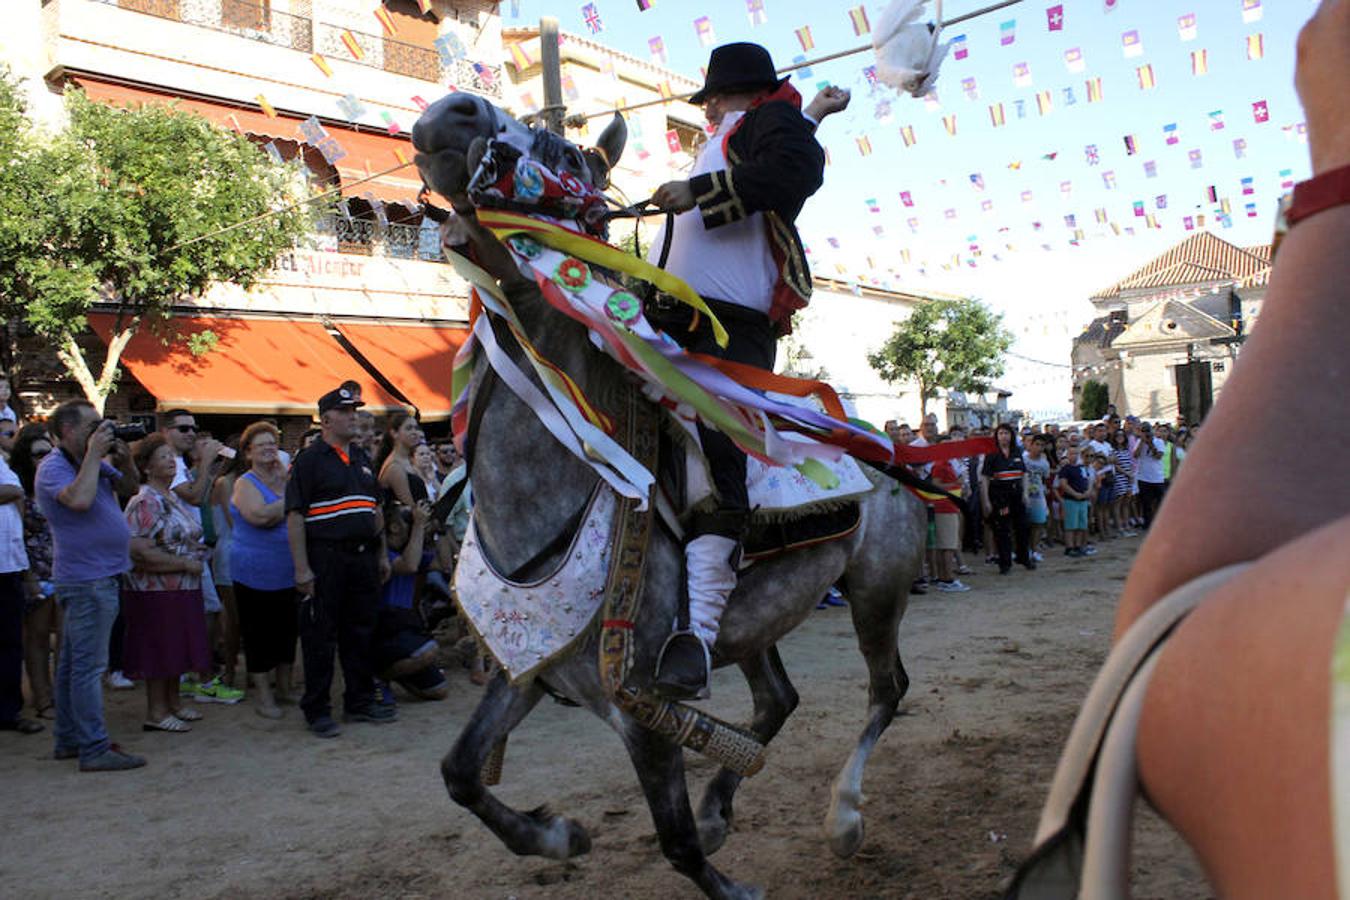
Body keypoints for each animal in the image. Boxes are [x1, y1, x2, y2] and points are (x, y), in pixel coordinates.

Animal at [413, 93, 928, 900]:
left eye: (567, 155)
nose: (452, 112)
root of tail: (884, 445)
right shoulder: (527, 665)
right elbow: (460, 772)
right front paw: (558, 836)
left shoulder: (639, 708)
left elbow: (676, 841)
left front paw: (731, 883)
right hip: (754, 622)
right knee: (778, 699)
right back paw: (724, 804)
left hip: (877, 589)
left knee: (886, 690)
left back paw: (843, 817)